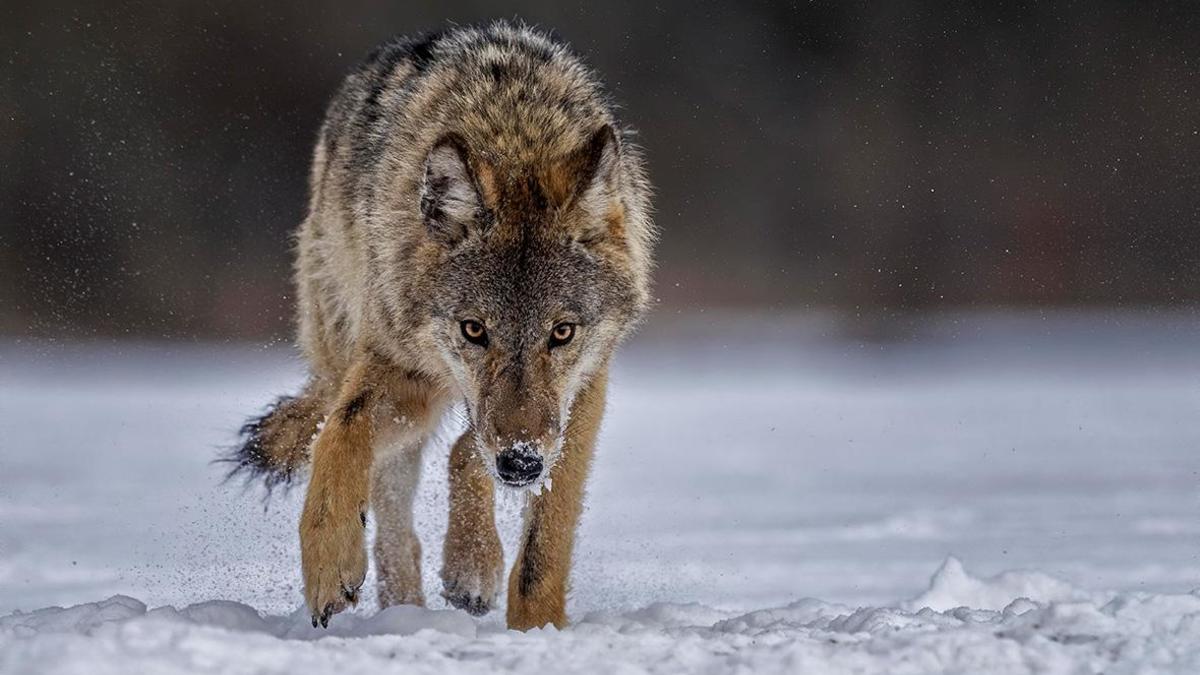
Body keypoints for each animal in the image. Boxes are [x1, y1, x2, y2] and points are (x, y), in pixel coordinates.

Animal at [225, 22, 657, 629]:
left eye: (563, 332)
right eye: (474, 329)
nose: (520, 463)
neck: (514, 131)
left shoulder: (582, 392)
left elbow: (545, 540)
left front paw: (537, 628)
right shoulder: (393, 366)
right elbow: (340, 432)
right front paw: (330, 561)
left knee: (461, 450)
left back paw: (467, 570)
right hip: (391, 382)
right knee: (390, 511)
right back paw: (406, 612)